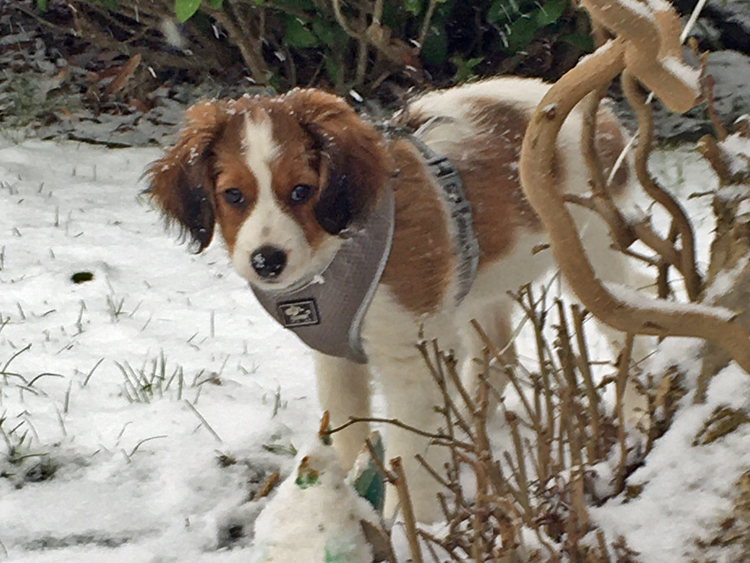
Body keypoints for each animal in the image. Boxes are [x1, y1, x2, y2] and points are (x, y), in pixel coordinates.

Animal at [147, 78, 640, 524]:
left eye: (302, 191)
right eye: (233, 195)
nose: (266, 260)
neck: (336, 250)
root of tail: (595, 110)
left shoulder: (410, 356)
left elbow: (414, 462)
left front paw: (411, 530)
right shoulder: (336, 360)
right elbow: (347, 433)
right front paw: (343, 500)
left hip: (591, 254)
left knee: (629, 326)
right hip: (478, 286)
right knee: (497, 353)